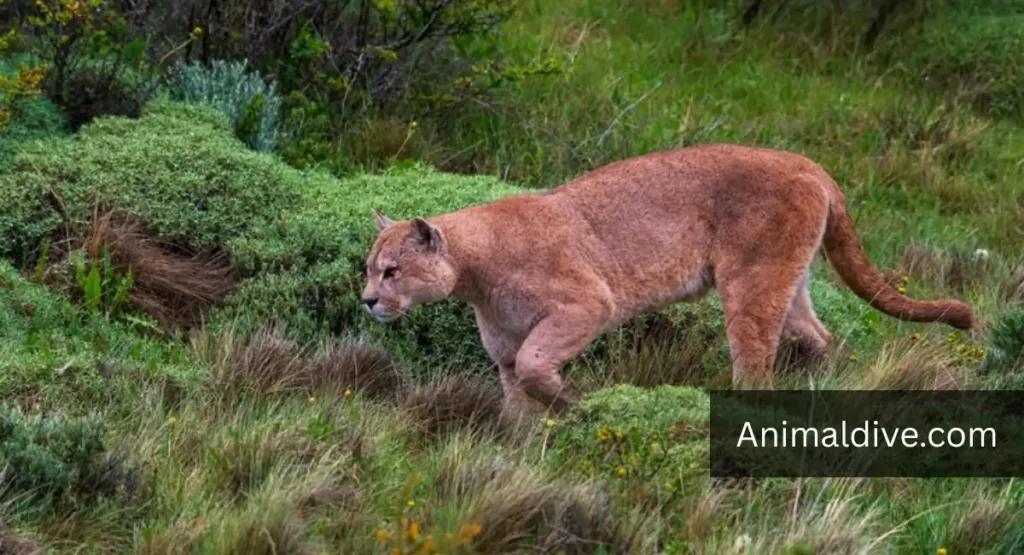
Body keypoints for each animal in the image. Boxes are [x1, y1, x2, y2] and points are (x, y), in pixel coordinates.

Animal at [362, 144, 974, 412]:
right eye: (368, 270)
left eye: (392, 271)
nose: (368, 301)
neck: (475, 274)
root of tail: (809, 163)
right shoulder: (505, 351)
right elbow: (518, 398)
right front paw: (528, 446)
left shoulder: (587, 303)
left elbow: (539, 365)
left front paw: (574, 401)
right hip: (789, 281)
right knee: (820, 336)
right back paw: (821, 392)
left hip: (750, 283)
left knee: (755, 361)